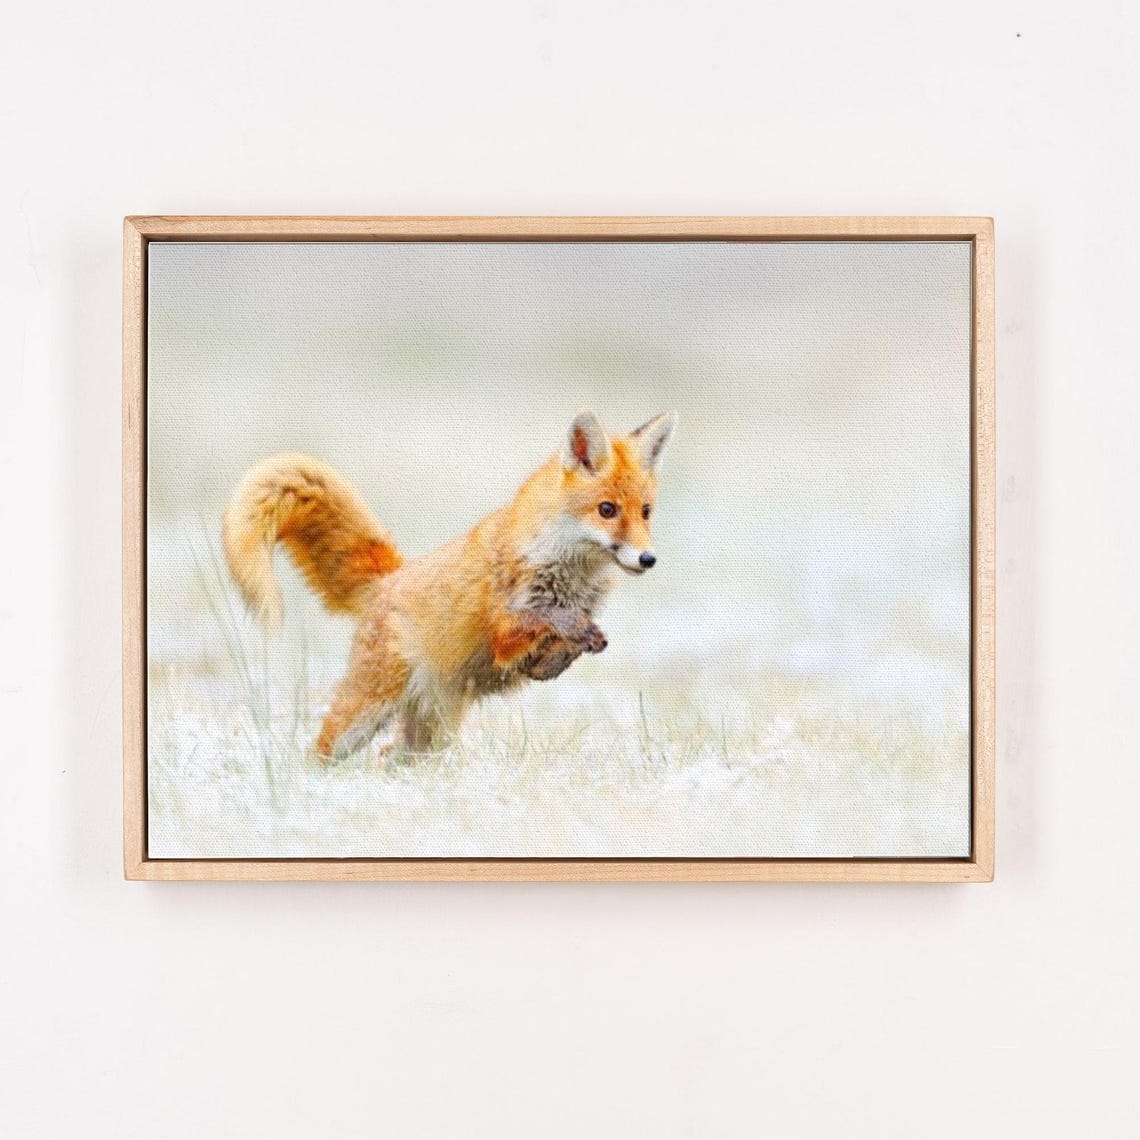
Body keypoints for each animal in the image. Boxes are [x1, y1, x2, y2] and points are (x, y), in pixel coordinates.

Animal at [222, 409, 676, 761]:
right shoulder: (504, 630)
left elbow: (563, 652)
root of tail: (389, 578)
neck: (568, 569)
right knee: (321, 751)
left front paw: (569, 652)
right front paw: (573, 630)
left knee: (388, 758)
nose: (648, 559)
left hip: (431, 733)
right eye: (607, 510)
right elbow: (547, 618)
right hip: (367, 712)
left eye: (646, 512)